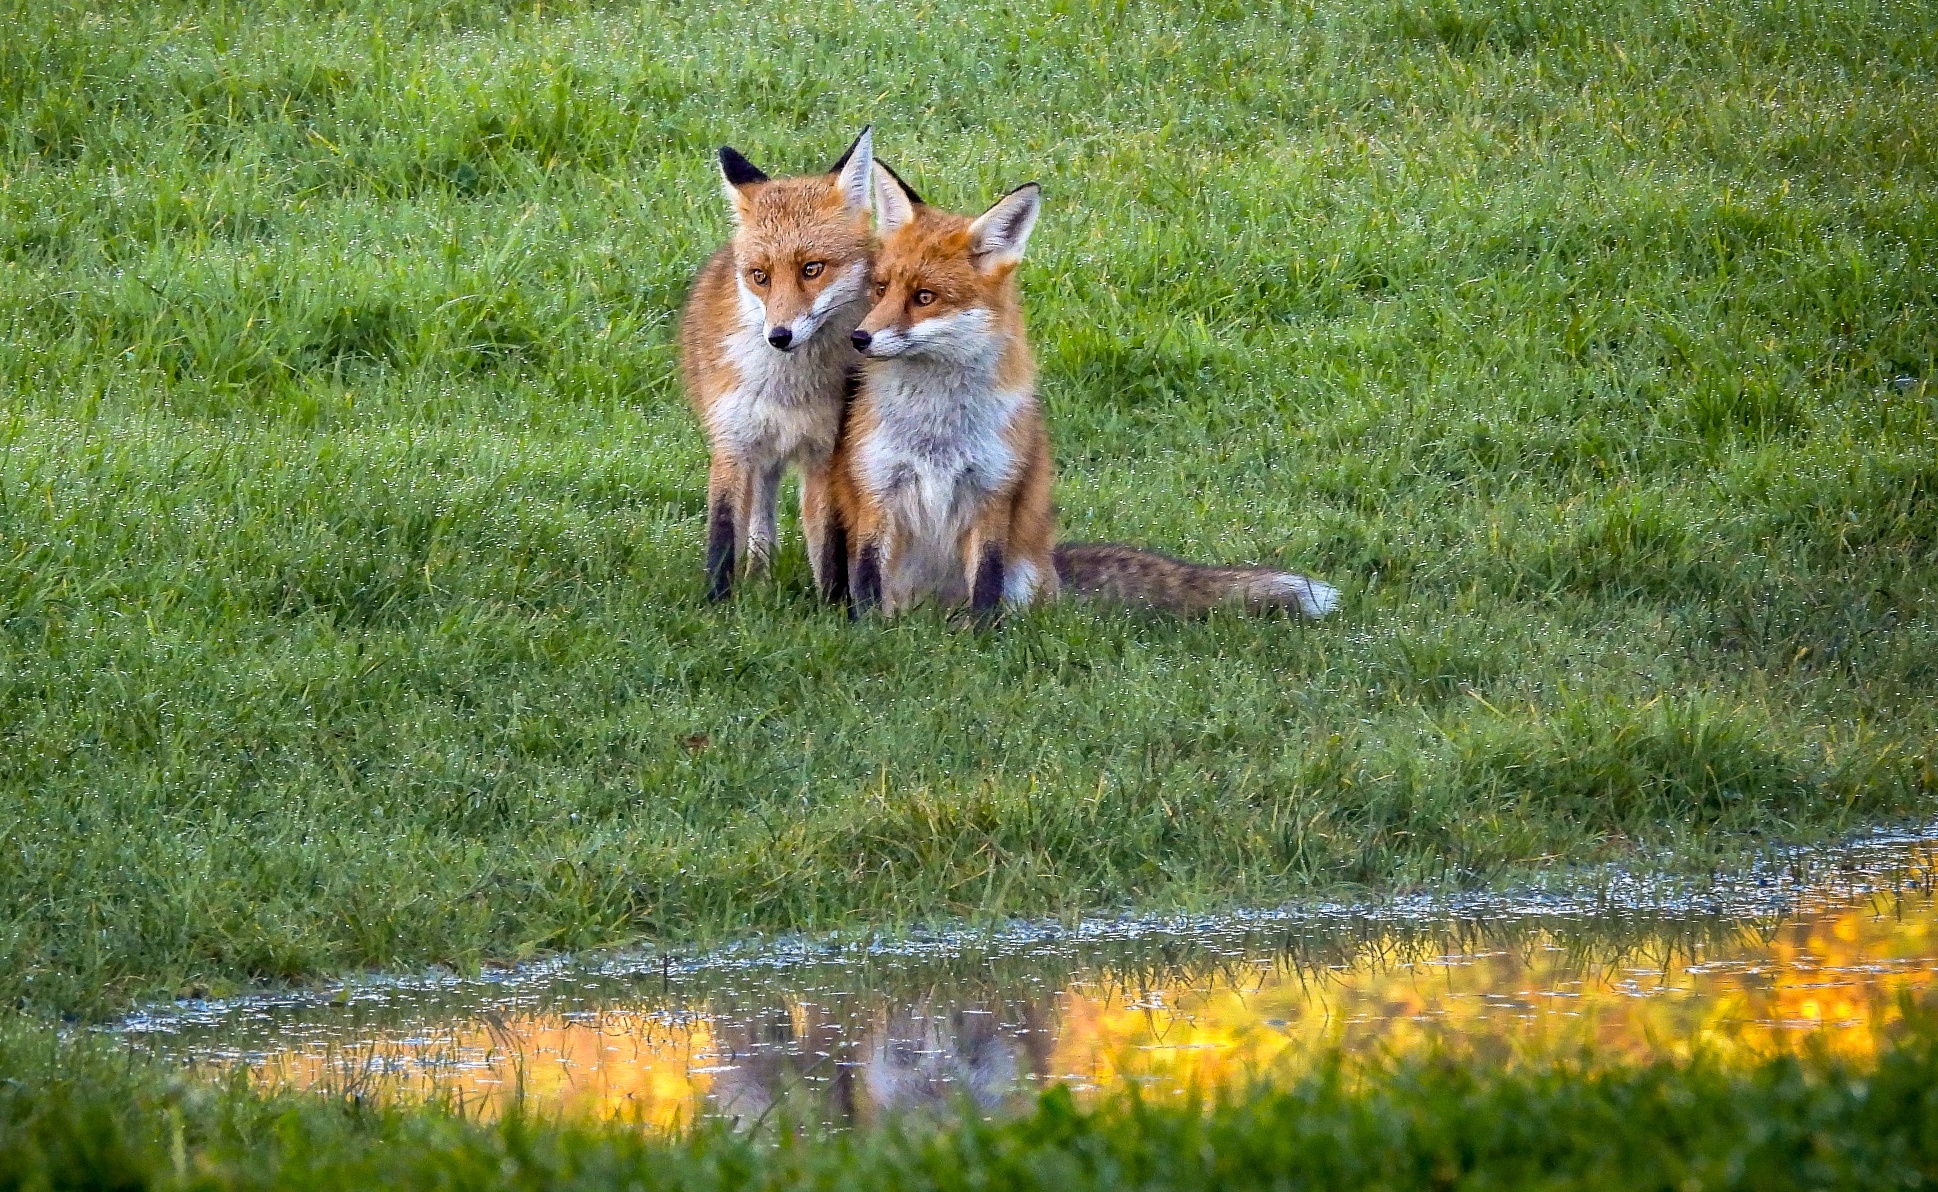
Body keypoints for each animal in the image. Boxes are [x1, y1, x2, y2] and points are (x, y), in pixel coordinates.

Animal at [674, 127, 872, 604]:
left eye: (812, 269)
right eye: (760, 276)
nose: (778, 336)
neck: (787, 390)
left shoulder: (823, 453)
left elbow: (827, 543)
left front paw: (834, 606)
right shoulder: (732, 444)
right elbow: (724, 534)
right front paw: (716, 605)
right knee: (760, 519)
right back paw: (759, 580)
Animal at [833, 167, 1333, 624]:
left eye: (924, 297)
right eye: (880, 288)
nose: (859, 339)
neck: (936, 429)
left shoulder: (993, 490)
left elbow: (985, 588)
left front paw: (981, 641)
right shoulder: (877, 489)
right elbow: (868, 585)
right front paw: (871, 636)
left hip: (1024, 575)